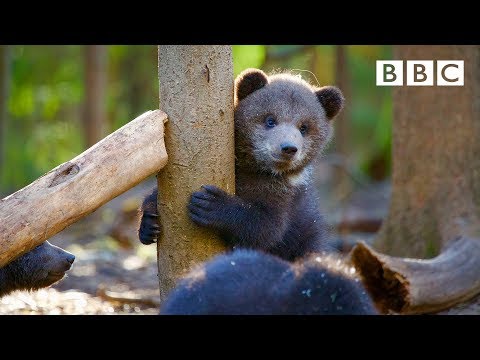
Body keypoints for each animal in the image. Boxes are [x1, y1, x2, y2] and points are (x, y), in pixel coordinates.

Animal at [139, 69, 344, 262]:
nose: (288, 148)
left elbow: (266, 228)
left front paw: (211, 203)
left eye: (304, 127)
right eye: (270, 120)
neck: (255, 169)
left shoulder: (284, 198)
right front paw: (149, 223)